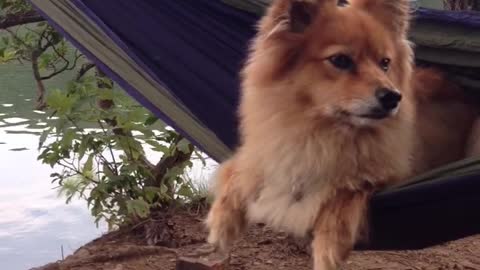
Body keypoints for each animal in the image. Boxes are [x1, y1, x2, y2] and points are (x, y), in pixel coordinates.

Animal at [204, 1, 478, 268]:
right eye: (341, 60)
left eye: (385, 63)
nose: (393, 97)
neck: (321, 133)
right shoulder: (263, 154)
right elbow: (235, 172)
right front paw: (221, 224)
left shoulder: (394, 173)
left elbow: (351, 187)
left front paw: (329, 244)